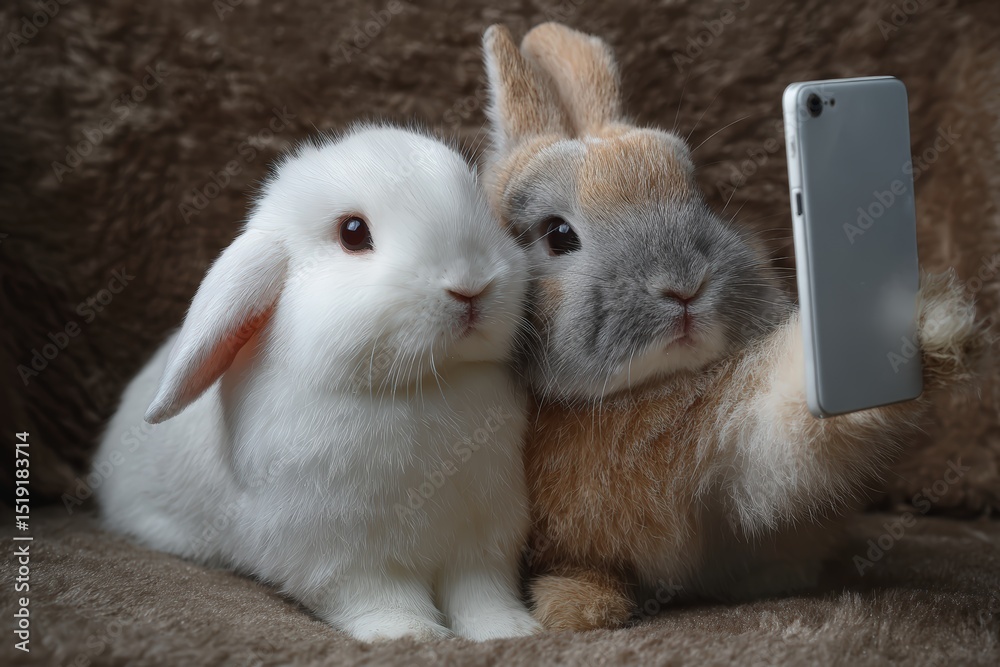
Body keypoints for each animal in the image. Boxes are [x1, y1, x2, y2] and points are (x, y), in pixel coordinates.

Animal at [94, 125, 542, 642]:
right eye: (353, 233)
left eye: (479, 202)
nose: (471, 286)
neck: (425, 384)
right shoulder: (341, 554)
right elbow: (380, 596)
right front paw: (409, 633)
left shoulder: (482, 541)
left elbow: (481, 594)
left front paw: (509, 631)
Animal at [480, 23, 984, 631]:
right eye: (557, 235)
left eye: (698, 196)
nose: (684, 285)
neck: (635, 392)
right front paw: (575, 605)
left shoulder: (737, 438)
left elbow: (785, 422)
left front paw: (931, 323)